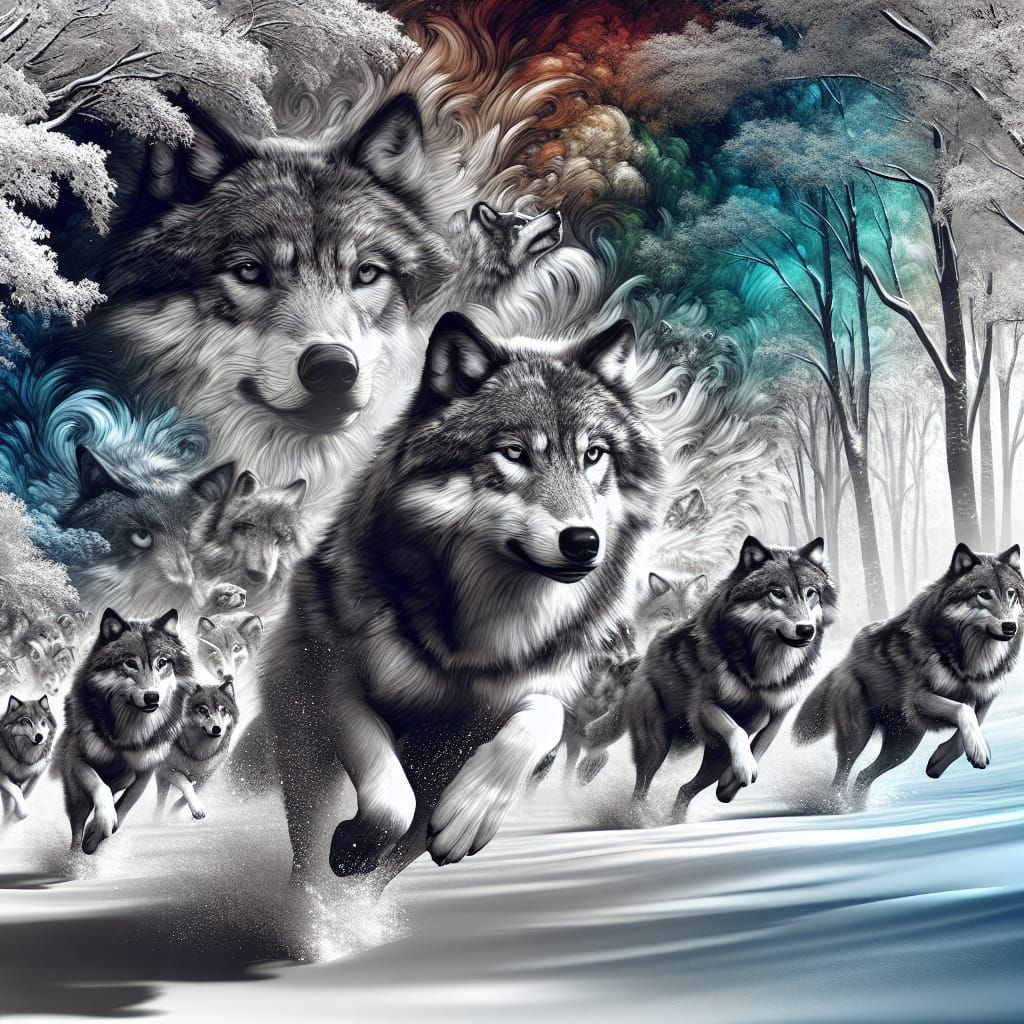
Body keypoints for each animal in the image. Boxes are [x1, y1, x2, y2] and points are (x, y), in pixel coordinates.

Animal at [55, 608, 193, 854]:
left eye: (162, 662)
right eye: (130, 663)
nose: (152, 697)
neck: (129, 736)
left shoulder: (146, 770)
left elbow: (124, 808)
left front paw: (95, 836)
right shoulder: (76, 758)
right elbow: (98, 786)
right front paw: (101, 823)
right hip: (76, 795)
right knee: (77, 824)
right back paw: (74, 857)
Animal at [154, 680, 239, 821]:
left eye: (223, 710)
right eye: (203, 710)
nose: (217, 729)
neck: (198, 754)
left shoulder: (205, 777)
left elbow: (183, 800)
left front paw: (173, 813)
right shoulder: (169, 770)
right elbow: (186, 786)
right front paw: (197, 809)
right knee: (161, 799)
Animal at [260, 310, 666, 885]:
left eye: (594, 455)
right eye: (514, 453)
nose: (583, 541)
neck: (480, 643)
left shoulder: (542, 693)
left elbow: (542, 716)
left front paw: (471, 812)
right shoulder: (333, 677)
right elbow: (390, 801)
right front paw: (354, 847)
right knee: (309, 848)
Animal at [583, 537, 836, 820]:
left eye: (811, 593)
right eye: (777, 593)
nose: (806, 630)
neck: (763, 671)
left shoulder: (778, 714)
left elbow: (759, 748)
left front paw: (731, 782)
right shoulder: (704, 707)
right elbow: (736, 731)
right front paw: (744, 768)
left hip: (713, 757)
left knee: (684, 789)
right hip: (656, 747)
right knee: (642, 787)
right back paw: (639, 817)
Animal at [794, 543, 1022, 809]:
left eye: (1011, 594)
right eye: (984, 594)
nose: (1010, 627)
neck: (969, 660)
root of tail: (844, 662)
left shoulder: (986, 699)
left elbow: (968, 726)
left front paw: (940, 761)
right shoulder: (918, 699)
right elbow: (963, 710)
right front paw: (977, 750)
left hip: (903, 747)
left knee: (863, 775)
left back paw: (858, 806)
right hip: (860, 736)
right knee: (842, 773)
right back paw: (837, 805)